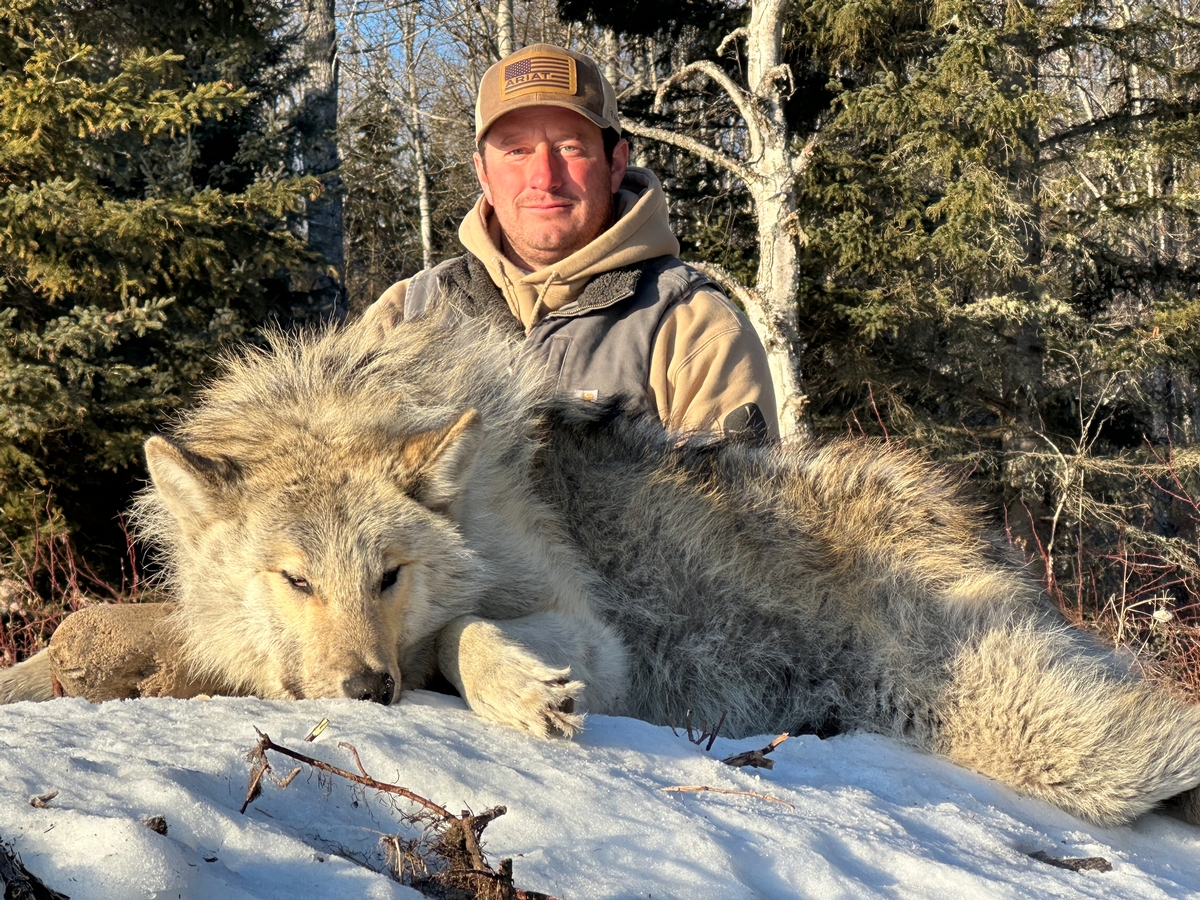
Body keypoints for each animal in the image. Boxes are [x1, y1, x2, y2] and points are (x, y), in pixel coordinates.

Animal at [4, 312, 1200, 828]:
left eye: (389, 574)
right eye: (296, 581)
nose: (364, 692)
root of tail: (969, 525)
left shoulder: (591, 637)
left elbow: (467, 636)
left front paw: (525, 696)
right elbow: (83, 636)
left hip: (1043, 734)